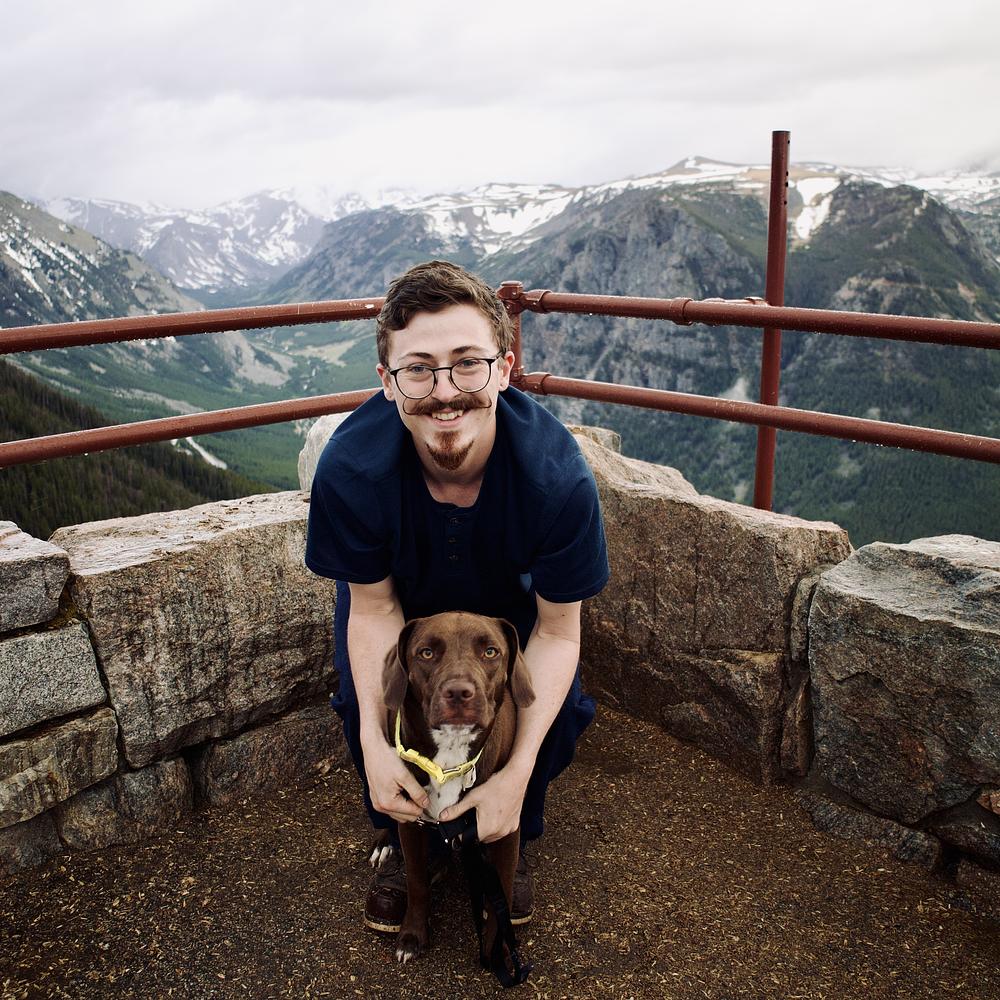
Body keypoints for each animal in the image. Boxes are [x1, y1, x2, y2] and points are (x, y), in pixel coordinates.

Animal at [380, 610, 535, 965]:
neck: (448, 763)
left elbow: (501, 900)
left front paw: (498, 951)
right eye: (426, 653)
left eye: (490, 652)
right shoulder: (410, 821)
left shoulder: (504, 826)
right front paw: (412, 935)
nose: (459, 692)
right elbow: (416, 881)